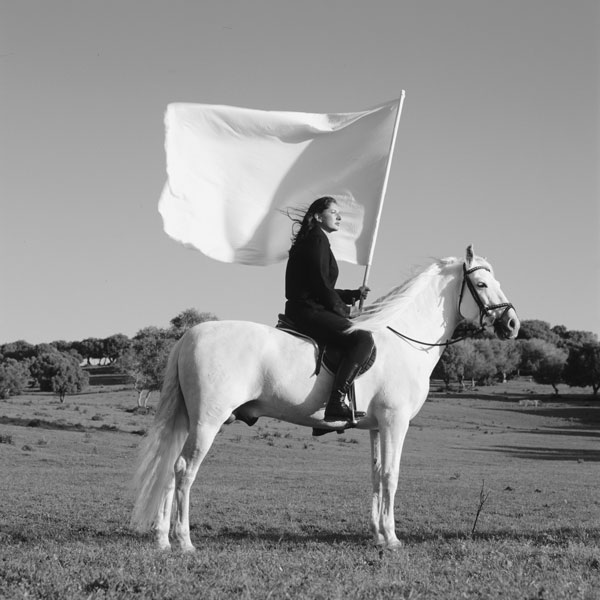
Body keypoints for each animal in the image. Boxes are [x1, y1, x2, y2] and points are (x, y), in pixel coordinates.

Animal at [132, 244, 520, 548]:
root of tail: (189, 334)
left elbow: (376, 477)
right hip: (207, 422)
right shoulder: (394, 423)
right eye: (481, 284)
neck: (404, 339)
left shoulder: (376, 427)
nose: (513, 324)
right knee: (184, 470)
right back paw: (184, 541)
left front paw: (379, 535)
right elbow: (391, 475)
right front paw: (393, 538)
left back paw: (163, 540)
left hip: (189, 421)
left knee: (170, 468)